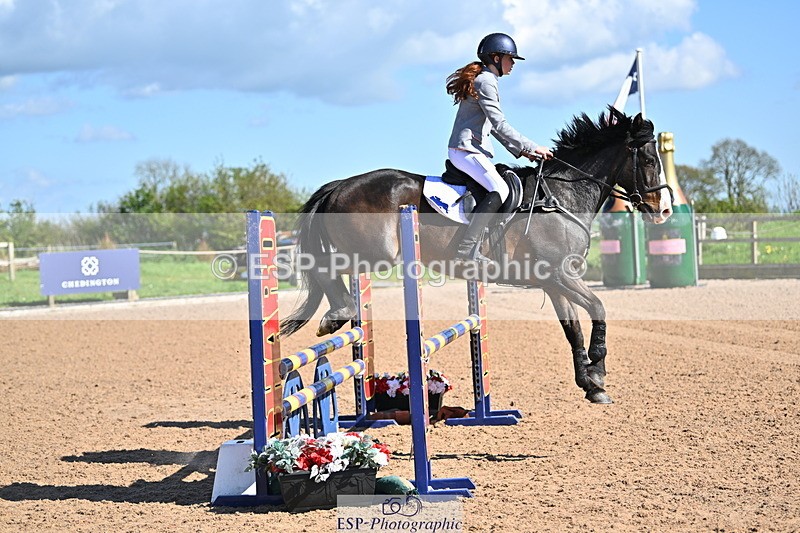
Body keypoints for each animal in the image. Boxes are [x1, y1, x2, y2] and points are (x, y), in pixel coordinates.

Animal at [279, 108, 672, 404]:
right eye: (648, 159)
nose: (663, 210)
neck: (561, 196)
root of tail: (339, 186)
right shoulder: (562, 275)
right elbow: (599, 309)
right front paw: (599, 371)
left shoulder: (556, 282)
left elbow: (573, 331)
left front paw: (590, 385)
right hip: (378, 254)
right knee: (328, 267)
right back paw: (337, 313)